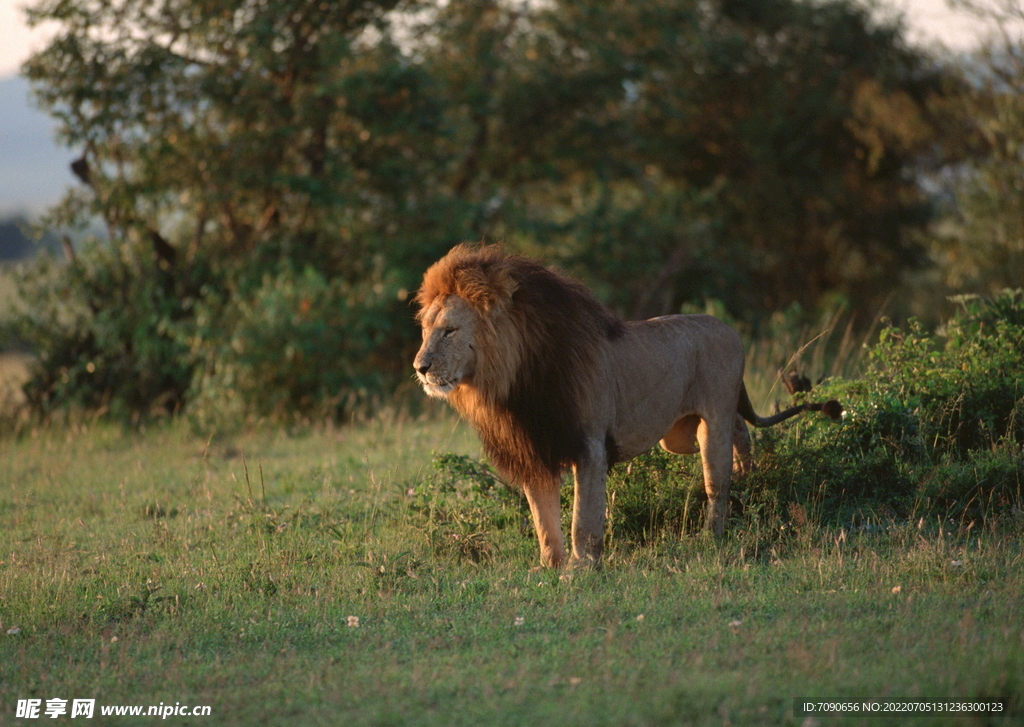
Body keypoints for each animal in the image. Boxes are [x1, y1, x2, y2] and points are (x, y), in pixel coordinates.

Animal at [411, 244, 843, 569]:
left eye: (449, 330)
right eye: (426, 330)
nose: (420, 367)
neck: (510, 384)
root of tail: (730, 329)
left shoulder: (589, 444)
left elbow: (582, 518)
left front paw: (582, 568)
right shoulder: (532, 450)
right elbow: (543, 521)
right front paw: (550, 568)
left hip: (712, 421)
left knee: (717, 481)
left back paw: (713, 533)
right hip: (680, 436)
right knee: (742, 431)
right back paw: (751, 479)